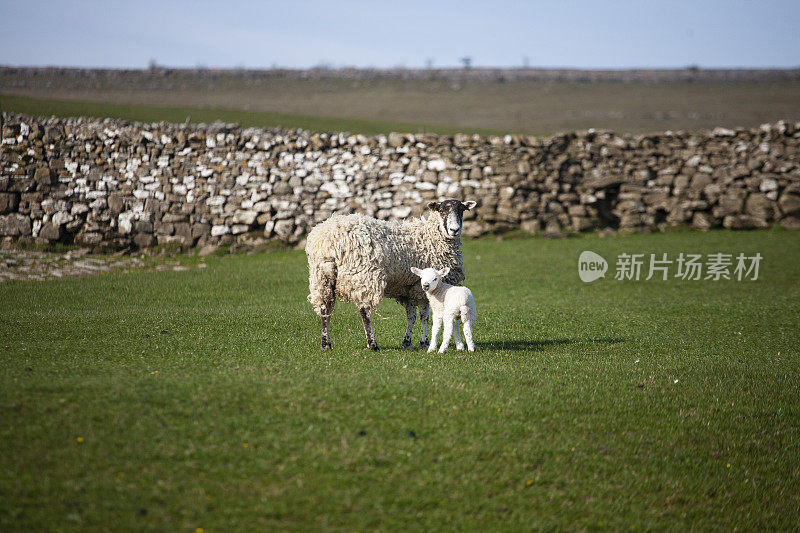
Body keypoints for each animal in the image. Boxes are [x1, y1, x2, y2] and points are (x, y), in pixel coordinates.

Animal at [304, 197, 472, 352]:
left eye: (461, 210)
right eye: (441, 211)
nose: (454, 230)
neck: (431, 236)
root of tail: (327, 241)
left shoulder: (406, 287)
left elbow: (411, 315)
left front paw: (407, 342)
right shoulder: (421, 286)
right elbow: (424, 315)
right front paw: (424, 342)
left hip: (321, 278)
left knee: (325, 309)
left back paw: (326, 345)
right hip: (364, 276)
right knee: (365, 312)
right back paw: (372, 344)